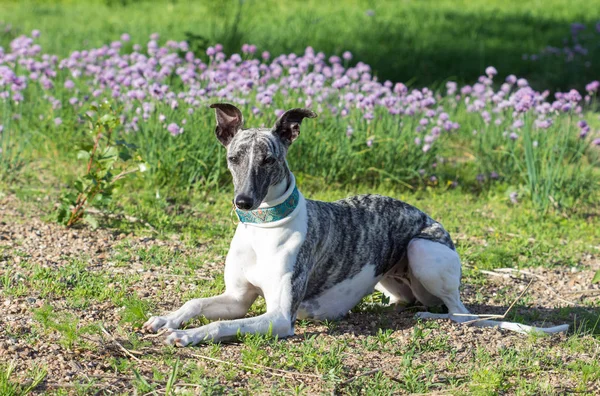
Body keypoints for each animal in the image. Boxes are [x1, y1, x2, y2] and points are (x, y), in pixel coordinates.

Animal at [143, 103, 568, 344]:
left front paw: (184, 335)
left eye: (269, 159)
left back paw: (435, 316)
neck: (263, 229)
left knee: (461, 314)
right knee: (408, 301)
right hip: (392, 279)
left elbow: (219, 326)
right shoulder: (237, 298)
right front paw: (166, 318)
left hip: (422, 248)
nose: (243, 202)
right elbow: (196, 301)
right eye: (233, 158)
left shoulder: (279, 318)